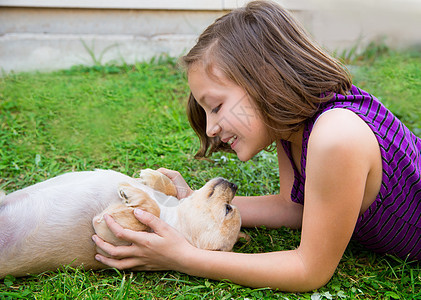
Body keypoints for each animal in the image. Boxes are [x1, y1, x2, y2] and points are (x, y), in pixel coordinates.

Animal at [0, 170, 240, 278]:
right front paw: (152, 177)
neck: (172, 213)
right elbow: (169, 188)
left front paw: (132, 193)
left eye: (228, 209)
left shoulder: (107, 228)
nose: (234, 184)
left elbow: (149, 211)